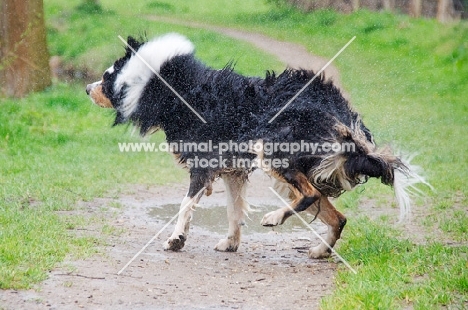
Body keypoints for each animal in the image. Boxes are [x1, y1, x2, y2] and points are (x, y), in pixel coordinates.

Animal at [85, 32, 424, 258]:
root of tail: (343, 116)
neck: (178, 92)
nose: (87, 88)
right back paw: (320, 250)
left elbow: (185, 204)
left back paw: (274, 218)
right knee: (337, 216)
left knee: (309, 194)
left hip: (273, 150)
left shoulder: (204, 164)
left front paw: (176, 239)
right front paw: (231, 243)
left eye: (106, 78)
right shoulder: (231, 170)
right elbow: (233, 210)